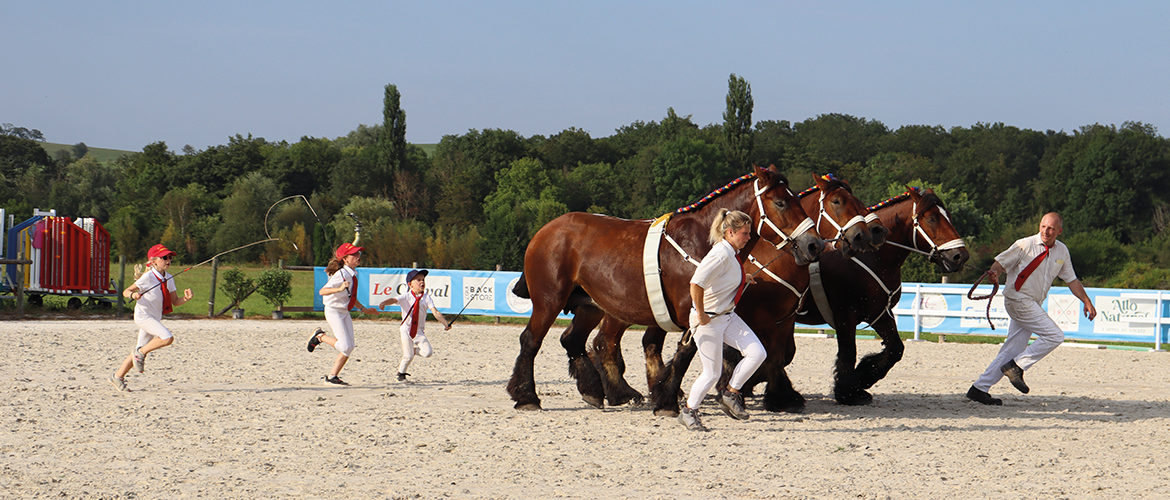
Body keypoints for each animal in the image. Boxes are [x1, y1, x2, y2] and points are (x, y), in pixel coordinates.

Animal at [510, 165, 823, 412]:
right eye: (781, 202)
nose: (813, 244)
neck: (701, 243)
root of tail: (546, 229)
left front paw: (664, 395)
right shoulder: (694, 313)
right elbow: (685, 355)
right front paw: (667, 400)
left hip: (590, 305)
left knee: (575, 340)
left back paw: (596, 390)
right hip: (550, 300)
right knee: (531, 340)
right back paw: (527, 396)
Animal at [589, 172, 879, 414]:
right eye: (838, 201)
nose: (863, 236)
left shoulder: (784, 319)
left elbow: (778, 355)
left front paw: (777, 395)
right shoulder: (752, 316)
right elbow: (748, 355)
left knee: (642, 343)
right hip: (623, 311)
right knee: (606, 342)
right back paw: (617, 392)